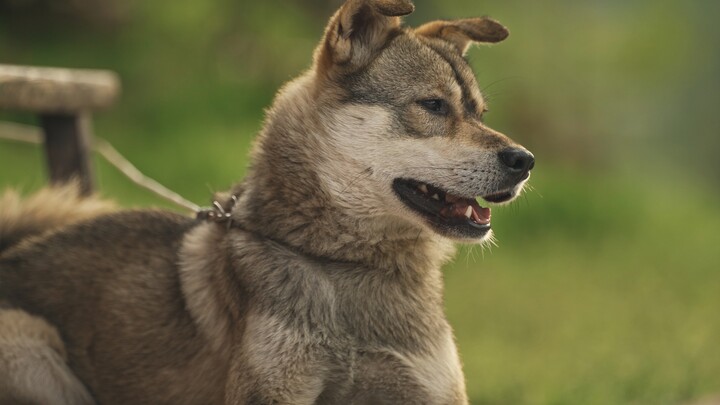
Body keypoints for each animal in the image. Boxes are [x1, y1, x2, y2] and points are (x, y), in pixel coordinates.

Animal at [0, 0, 536, 400]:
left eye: (480, 113)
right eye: (433, 105)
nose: (524, 160)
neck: (347, 264)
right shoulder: (273, 389)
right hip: (29, 344)